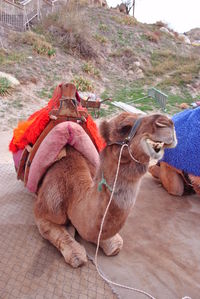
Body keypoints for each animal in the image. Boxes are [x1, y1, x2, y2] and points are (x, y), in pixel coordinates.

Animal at [34, 111, 177, 268]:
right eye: (124, 127)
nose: (167, 123)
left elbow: (113, 243)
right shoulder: (44, 211)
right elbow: (73, 252)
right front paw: (76, 249)